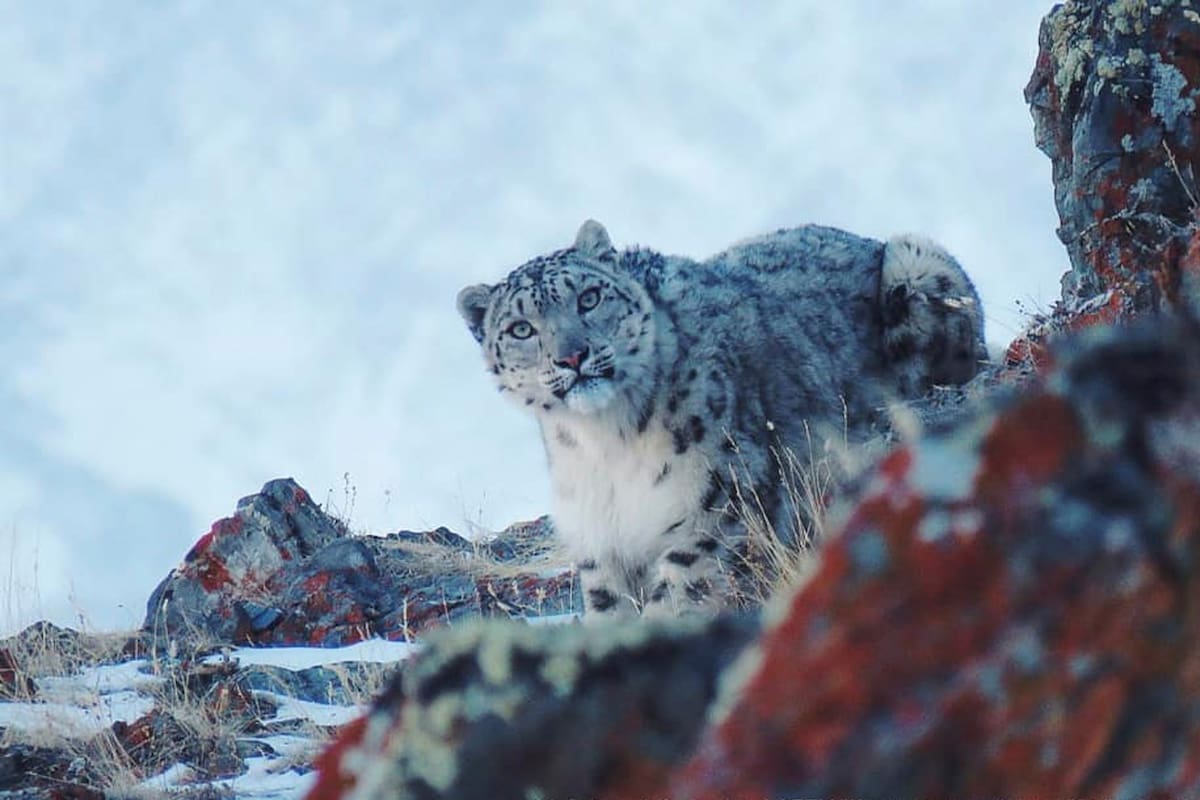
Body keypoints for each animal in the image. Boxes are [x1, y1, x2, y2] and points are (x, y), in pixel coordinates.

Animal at [457, 219, 985, 619]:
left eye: (588, 297)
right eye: (520, 329)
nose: (572, 356)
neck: (605, 442)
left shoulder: (719, 502)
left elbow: (680, 589)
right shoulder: (599, 539)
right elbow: (607, 607)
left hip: (916, 263)